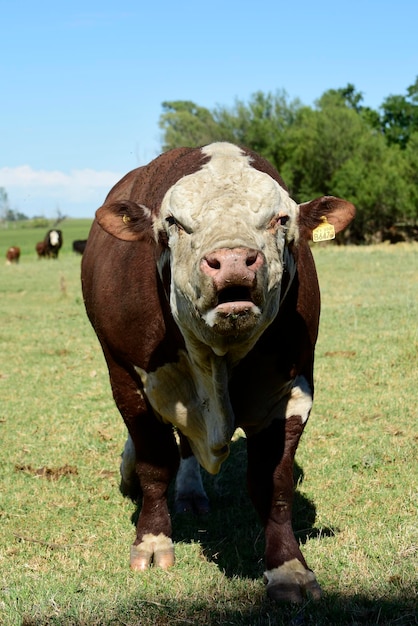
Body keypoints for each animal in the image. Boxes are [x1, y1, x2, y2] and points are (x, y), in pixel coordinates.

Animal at [81, 140, 356, 600]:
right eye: (173, 223)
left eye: (281, 219)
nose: (232, 260)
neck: (215, 358)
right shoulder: (128, 379)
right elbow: (154, 465)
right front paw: (152, 541)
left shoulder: (292, 389)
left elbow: (273, 483)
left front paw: (289, 569)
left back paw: (191, 493)